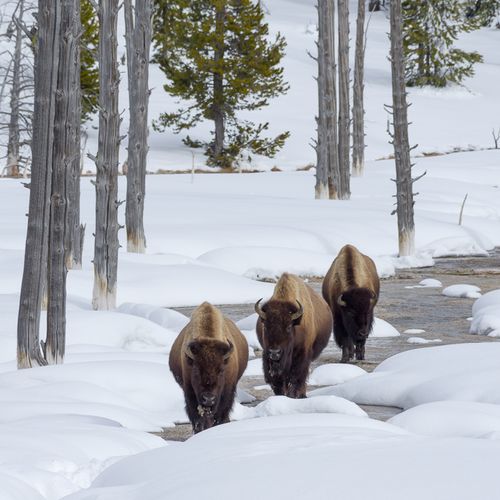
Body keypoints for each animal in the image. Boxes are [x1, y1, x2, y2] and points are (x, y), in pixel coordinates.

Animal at [170, 300, 248, 434]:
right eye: (196, 370)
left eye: (221, 370)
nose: (208, 399)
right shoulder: (189, 391)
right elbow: (197, 417)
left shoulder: (226, 392)